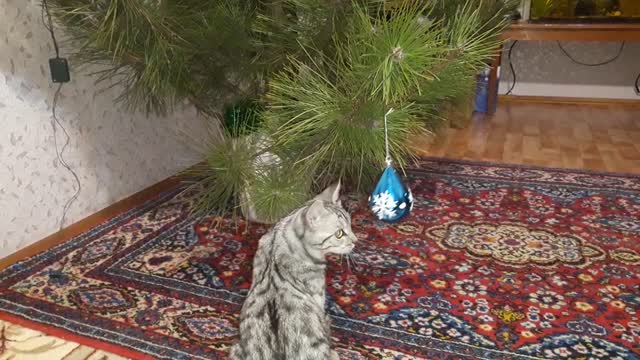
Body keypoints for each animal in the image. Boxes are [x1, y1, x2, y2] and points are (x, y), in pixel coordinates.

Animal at [230, 183, 358, 360]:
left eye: (350, 225)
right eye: (339, 234)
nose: (355, 241)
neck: (278, 240)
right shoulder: (318, 294)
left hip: (235, 348)